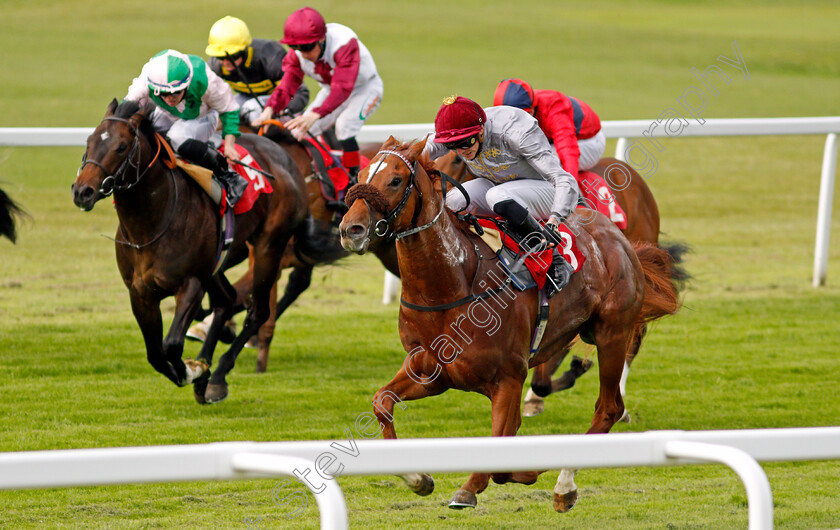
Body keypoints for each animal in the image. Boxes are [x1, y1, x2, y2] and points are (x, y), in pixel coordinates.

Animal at [71, 99, 308, 402]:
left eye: (121, 146)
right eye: (89, 141)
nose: (83, 192)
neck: (150, 224)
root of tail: (284, 156)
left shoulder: (191, 283)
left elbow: (171, 344)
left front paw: (192, 371)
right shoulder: (140, 293)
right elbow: (155, 354)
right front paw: (194, 370)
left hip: (269, 245)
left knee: (258, 312)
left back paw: (217, 375)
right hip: (218, 262)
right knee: (227, 300)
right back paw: (207, 369)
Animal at [338, 138, 680, 510]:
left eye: (396, 180)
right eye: (359, 174)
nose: (350, 230)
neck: (452, 284)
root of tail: (619, 237)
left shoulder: (508, 377)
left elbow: (501, 452)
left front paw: (482, 484)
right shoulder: (431, 371)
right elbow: (382, 402)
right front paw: (419, 478)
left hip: (612, 333)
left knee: (609, 407)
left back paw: (564, 483)